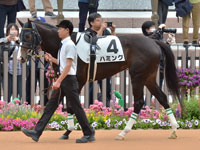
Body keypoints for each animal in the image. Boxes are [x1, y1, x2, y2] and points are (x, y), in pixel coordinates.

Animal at [17, 19, 180, 140]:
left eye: (27, 36)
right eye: (19, 36)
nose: (21, 58)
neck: (66, 42)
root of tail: (153, 42)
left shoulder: (78, 80)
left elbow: (71, 105)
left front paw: (80, 131)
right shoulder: (64, 80)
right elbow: (56, 105)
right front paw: (58, 131)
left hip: (137, 76)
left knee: (139, 102)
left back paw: (123, 132)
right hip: (149, 77)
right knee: (162, 97)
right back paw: (173, 129)